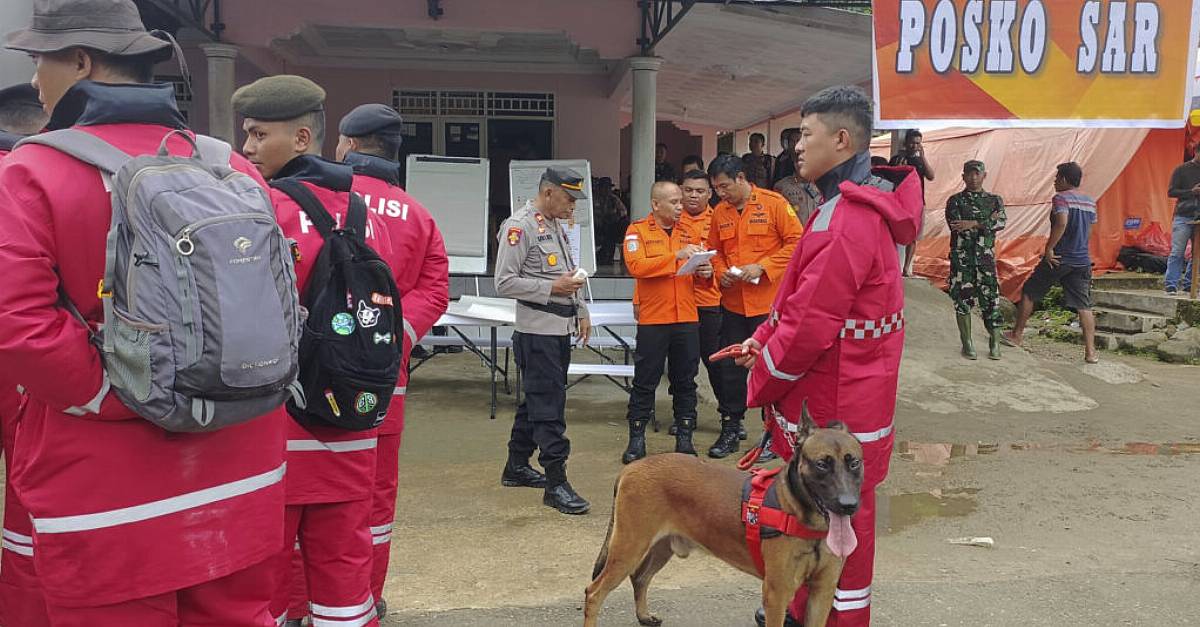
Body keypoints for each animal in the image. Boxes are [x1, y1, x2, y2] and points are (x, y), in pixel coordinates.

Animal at [580, 405, 864, 624]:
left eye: (854, 462)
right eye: (822, 464)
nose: (848, 505)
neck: (801, 515)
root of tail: (632, 468)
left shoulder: (822, 592)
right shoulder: (777, 594)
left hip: (661, 547)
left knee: (639, 577)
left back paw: (644, 616)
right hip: (628, 549)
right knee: (594, 593)